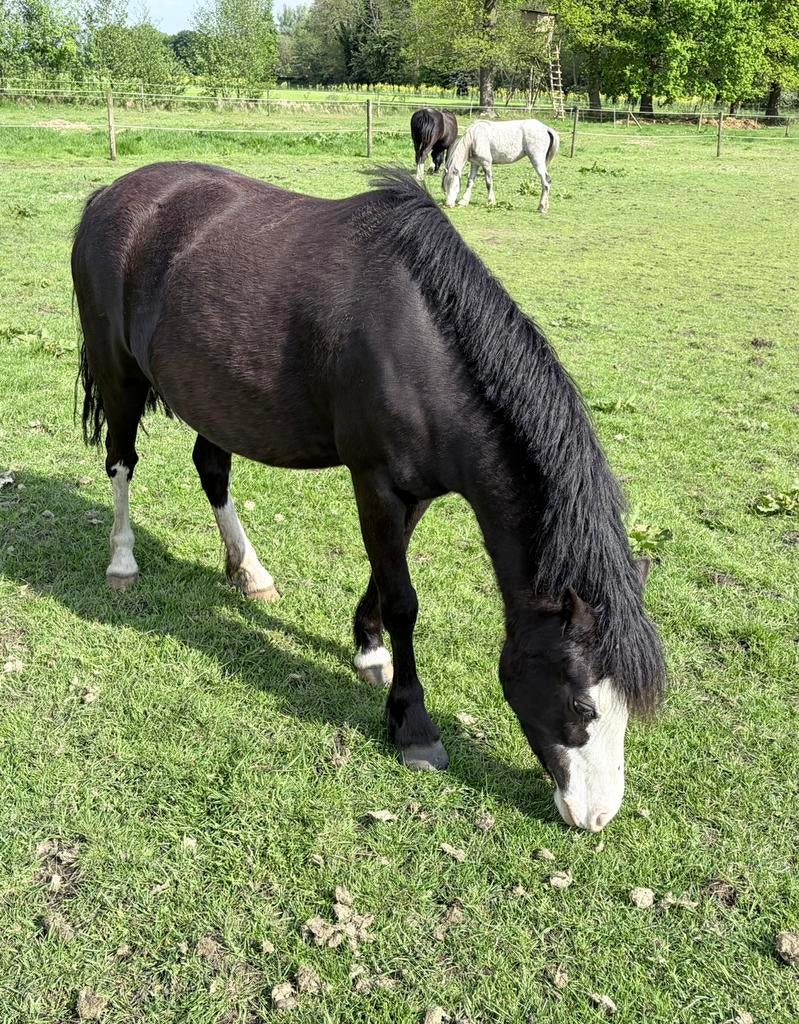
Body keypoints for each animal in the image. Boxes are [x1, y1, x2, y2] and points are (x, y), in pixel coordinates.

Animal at [72, 163, 665, 832]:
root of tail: (111, 194)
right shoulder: (375, 479)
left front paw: (368, 650)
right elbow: (403, 599)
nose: (596, 816)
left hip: (214, 398)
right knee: (121, 462)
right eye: (582, 704)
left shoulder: (418, 490)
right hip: (118, 373)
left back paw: (249, 571)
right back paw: (123, 560)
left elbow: (385, 577)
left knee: (212, 468)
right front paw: (412, 723)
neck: (421, 344)